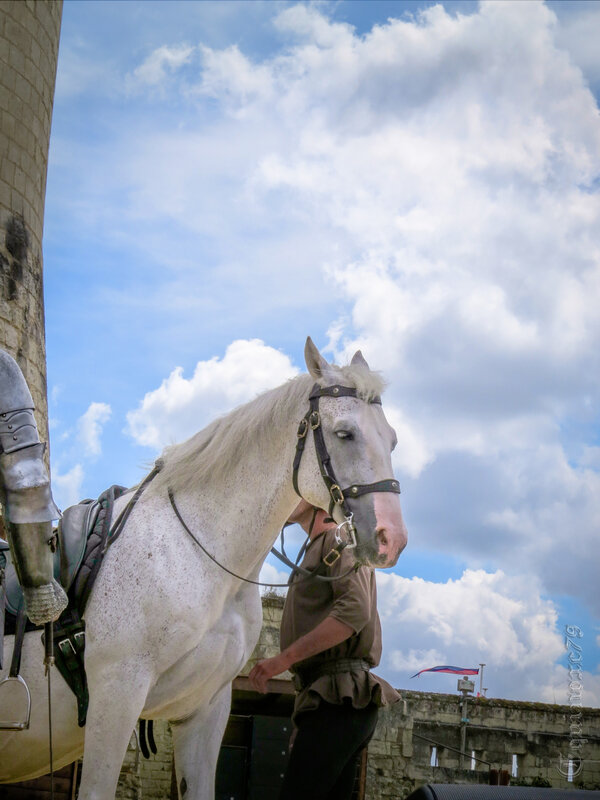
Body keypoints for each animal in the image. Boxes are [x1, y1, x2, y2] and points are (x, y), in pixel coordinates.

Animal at [0, 340, 408, 800]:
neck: (202, 557)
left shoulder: (206, 709)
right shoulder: (117, 694)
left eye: (392, 440)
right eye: (344, 434)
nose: (391, 538)